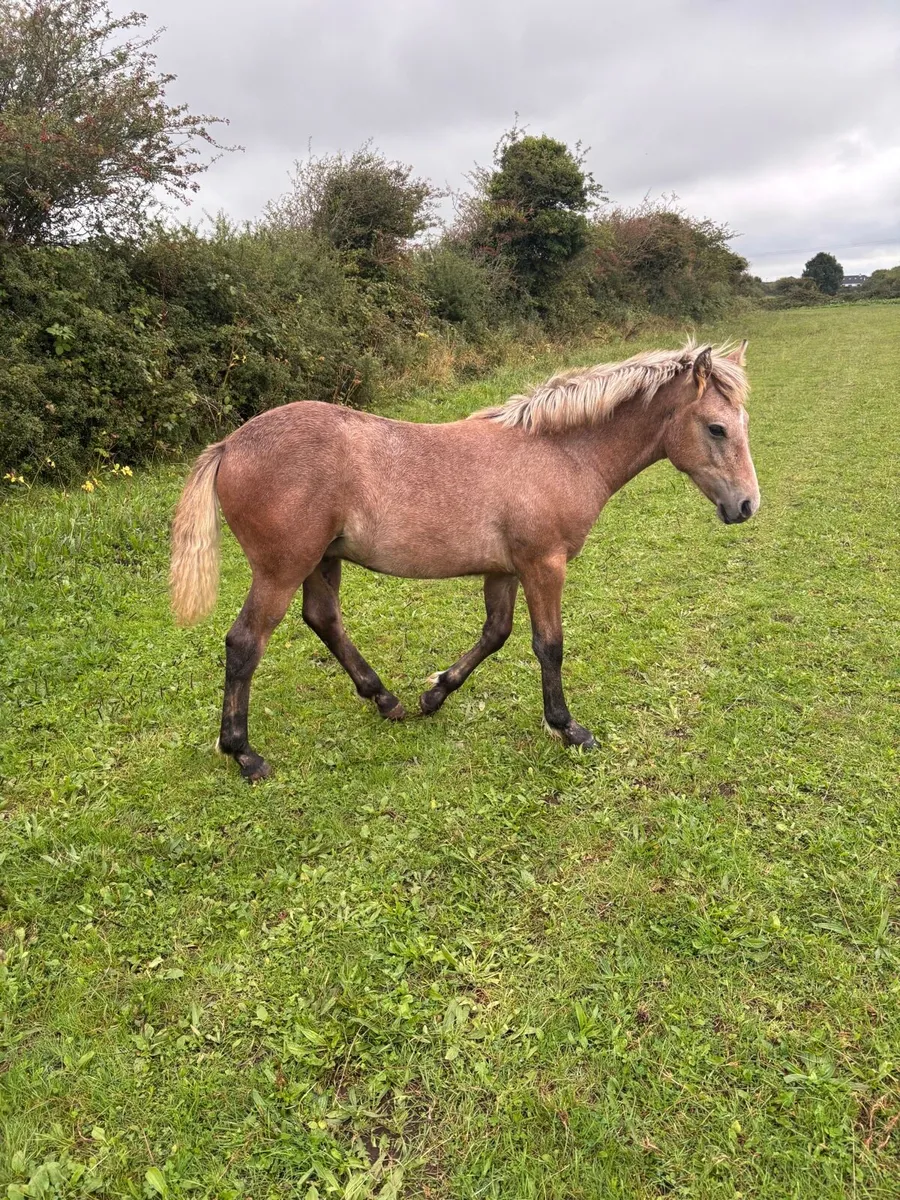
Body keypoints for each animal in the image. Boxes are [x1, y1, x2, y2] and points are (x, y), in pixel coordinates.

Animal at [170, 340, 759, 780]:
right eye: (716, 427)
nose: (747, 505)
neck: (558, 453)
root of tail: (230, 445)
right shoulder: (544, 565)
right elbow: (549, 646)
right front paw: (568, 728)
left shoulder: (505, 570)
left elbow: (496, 634)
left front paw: (435, 693)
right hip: (281, 569)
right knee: (245, 643)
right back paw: (244, 753)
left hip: (320, 561)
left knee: (323, 619)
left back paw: (386, 700)